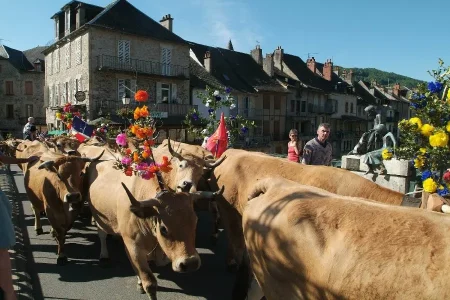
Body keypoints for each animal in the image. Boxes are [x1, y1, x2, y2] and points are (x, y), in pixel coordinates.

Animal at [84, 161, 223, 298]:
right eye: (163, 228)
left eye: (195, 221)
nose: (190, 263)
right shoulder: (133, 245)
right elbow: (149, 282)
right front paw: (143, 283)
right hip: (99, 218)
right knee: (102, 235)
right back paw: (104, 256)